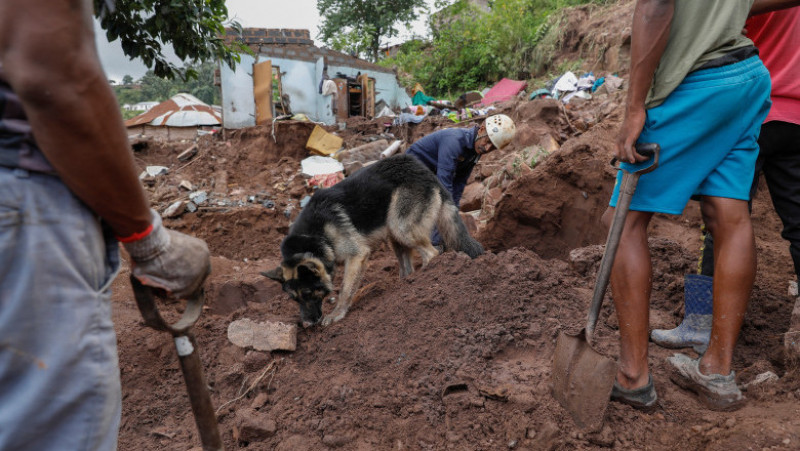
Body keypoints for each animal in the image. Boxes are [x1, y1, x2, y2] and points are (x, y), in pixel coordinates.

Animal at [266, 154, 484, 326]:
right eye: (294, 299)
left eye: (309, 293)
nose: (308, 324)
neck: (312, 237)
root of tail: (422, 169)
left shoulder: (357, 256)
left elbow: (345, 290)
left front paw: (337, 314)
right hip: (394, 234)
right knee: (408, 266)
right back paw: (407, 283)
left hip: (401, 228)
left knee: (432, 253)